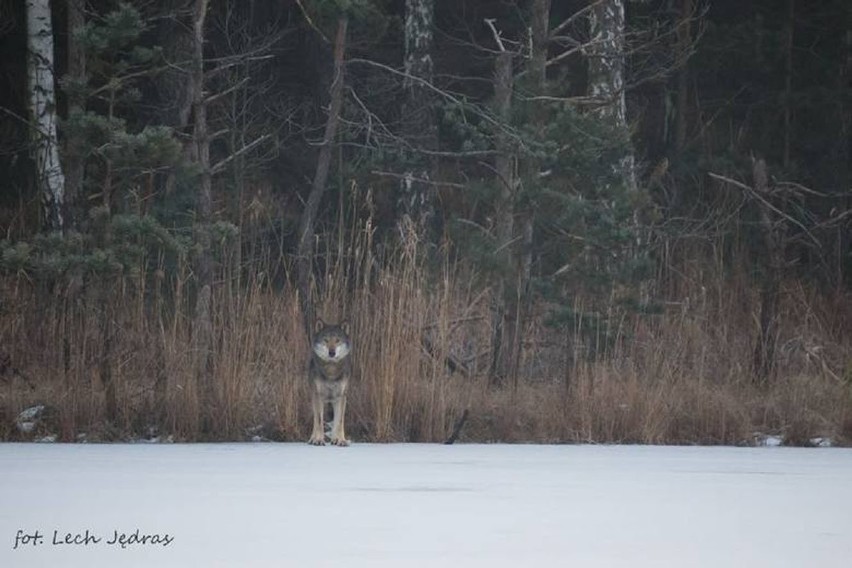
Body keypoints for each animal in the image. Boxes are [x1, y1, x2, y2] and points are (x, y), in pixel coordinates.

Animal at [308, 318, 352, 446]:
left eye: (337, 340)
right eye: (326, 340)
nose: (331, 352)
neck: (331, 371)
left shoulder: (341, 396)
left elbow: (339, 421)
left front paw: (340, 440)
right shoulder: (318, 396)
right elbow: (318, 420)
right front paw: (318, 440)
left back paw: (334, 439)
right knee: (315, 420)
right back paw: (312, 439)